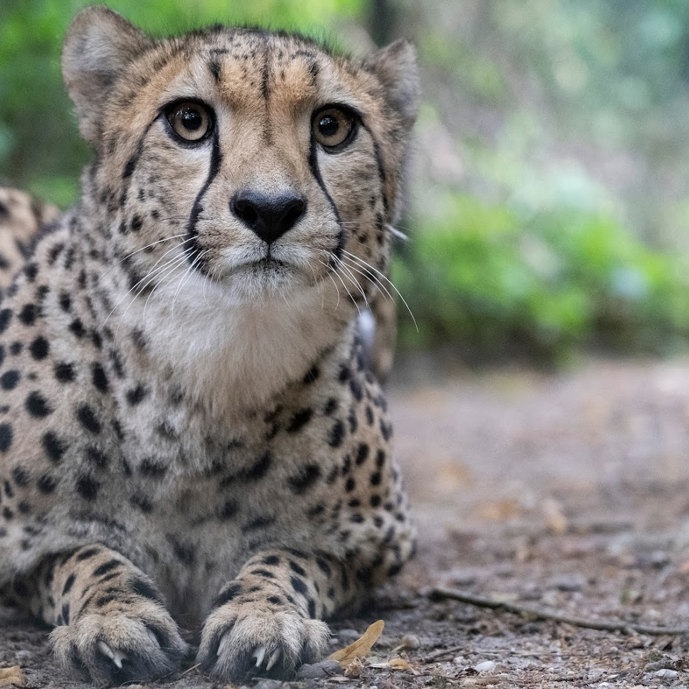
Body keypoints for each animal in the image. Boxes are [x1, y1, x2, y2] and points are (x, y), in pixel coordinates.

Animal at [0, 5, 419, 685]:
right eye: (189, 121)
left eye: (332, 127)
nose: (269, 209)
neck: (210, 365)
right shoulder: (22, 545)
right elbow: (85, 555)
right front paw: (113, 620)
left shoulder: (376, 542)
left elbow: (288, 555)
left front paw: (264, 616)